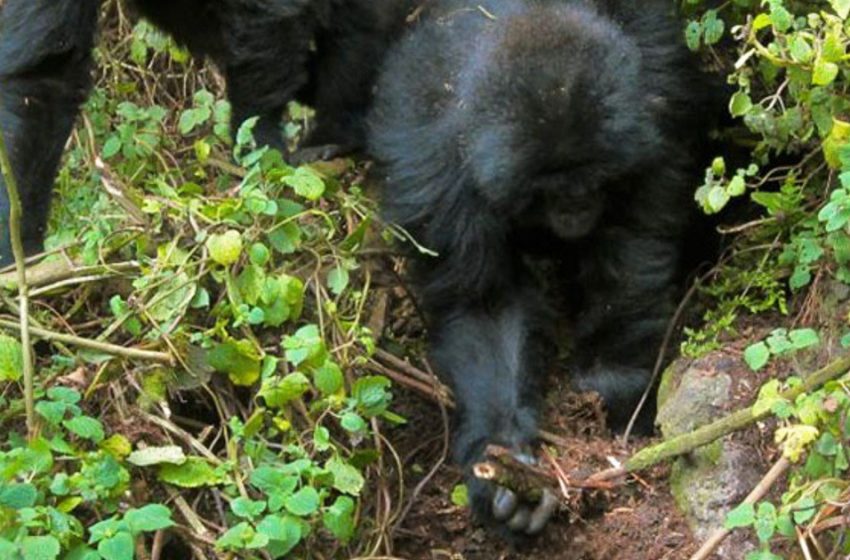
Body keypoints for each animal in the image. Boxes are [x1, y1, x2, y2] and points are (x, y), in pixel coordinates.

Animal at [368, 0, 712, 536]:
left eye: (591, 177)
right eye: (548, 187)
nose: (576, 206)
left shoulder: (649, 111)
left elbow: (632, 246)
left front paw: (614, 391)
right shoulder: (438, 170)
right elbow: (485, 307)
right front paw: (502, 459)